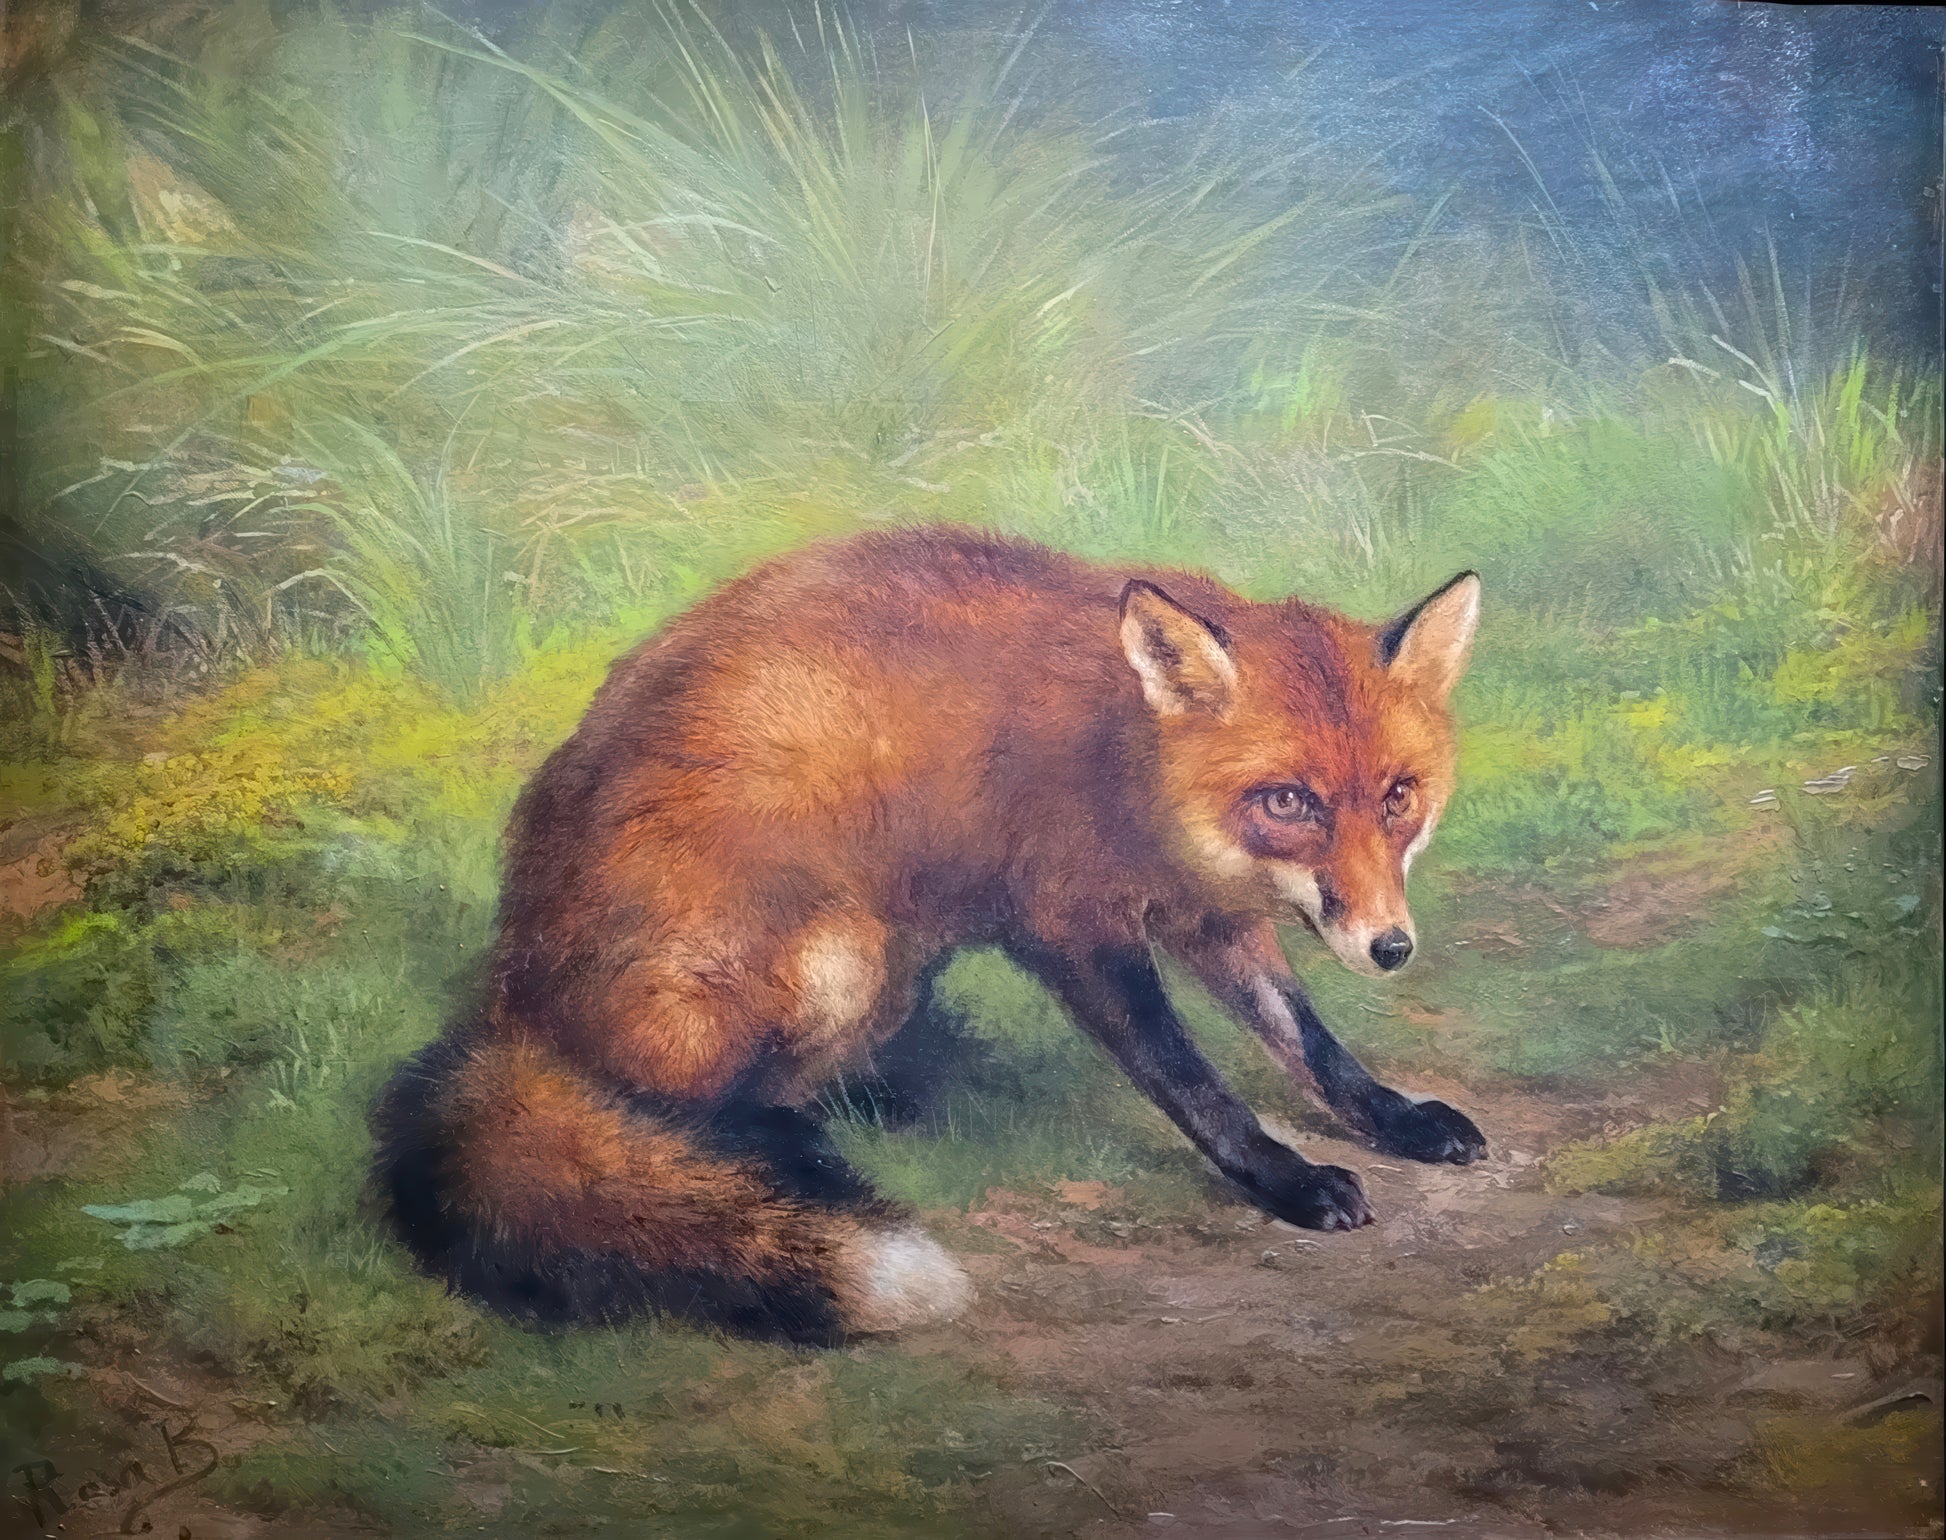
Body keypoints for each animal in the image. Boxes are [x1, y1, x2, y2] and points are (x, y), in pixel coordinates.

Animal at [374, 524, 1487, 1343]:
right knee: (674, 1107)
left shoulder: (1211, 916)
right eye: (1290, 801)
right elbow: (1195, 1084)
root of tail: (507, 994)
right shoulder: (1070, 924)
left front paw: (1397, 1119)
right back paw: (783, 1158)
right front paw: (1288, 1180)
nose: (1391, 948)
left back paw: (876, 1099)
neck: (1133, 765)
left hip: (898, 960)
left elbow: (1308, 1043)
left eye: (1397, 797)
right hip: (840, 952)